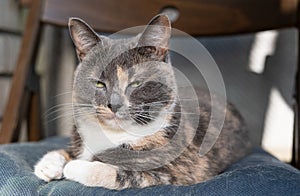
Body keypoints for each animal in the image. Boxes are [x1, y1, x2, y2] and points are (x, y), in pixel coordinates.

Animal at [34, 14, 252, 190]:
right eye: (99, 83)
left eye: (136, 83)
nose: (114, 105)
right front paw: (49, 164)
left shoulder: (173, 172)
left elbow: (114, 173)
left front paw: (74, 167)